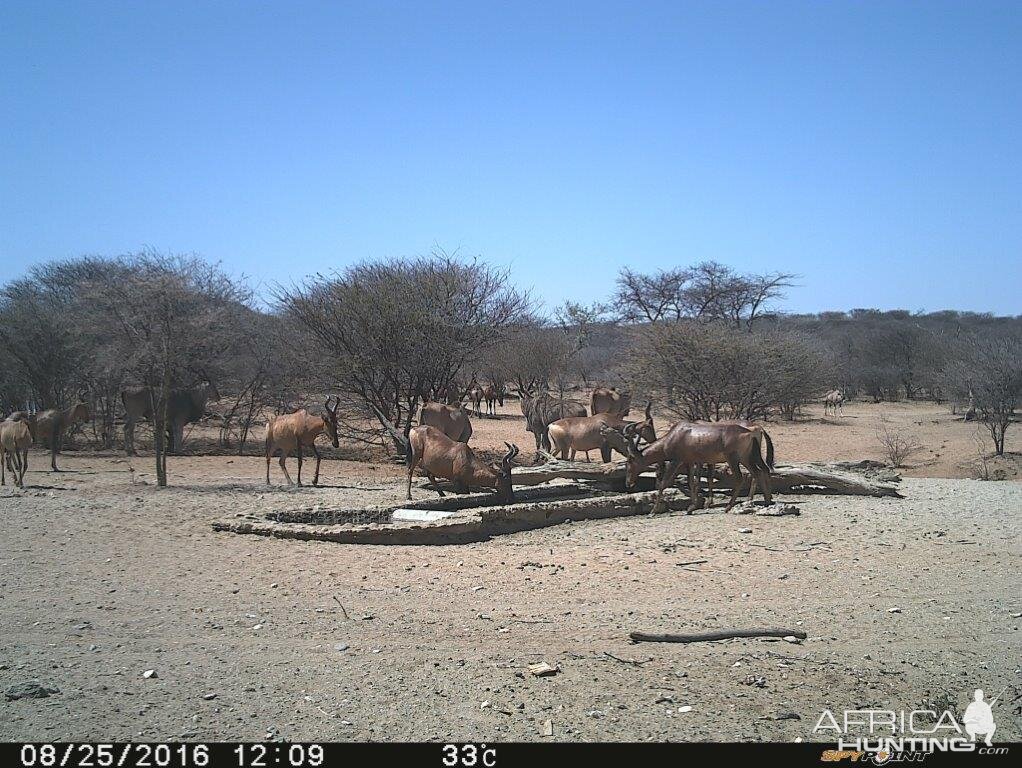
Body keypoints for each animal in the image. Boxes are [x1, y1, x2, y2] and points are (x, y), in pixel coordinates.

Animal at [596, 421, 772, 517]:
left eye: (629, 460)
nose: (628, 483)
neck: (676, 434)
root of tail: (751, 433)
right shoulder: (688, 462)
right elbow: (691, 482)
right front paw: (691, 508)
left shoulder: (676, 461)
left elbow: (664, 483)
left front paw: (652, 511)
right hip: (748, 458)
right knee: (760, 472)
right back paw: (767, 501)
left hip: (734, 459)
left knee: (741, 478)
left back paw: (728, 507)